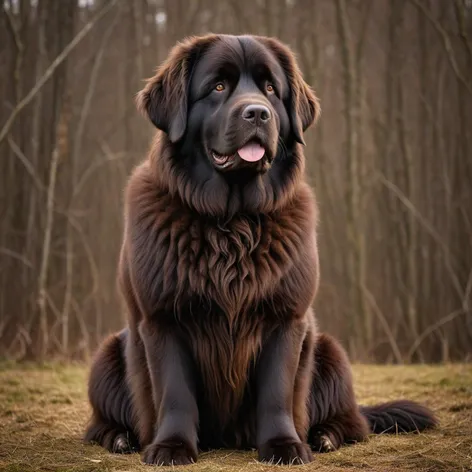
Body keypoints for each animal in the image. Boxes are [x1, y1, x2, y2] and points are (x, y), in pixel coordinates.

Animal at [83, 33, 436, 464]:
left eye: (270, 89)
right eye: (218, 86)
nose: (257, 114)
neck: (232, 222)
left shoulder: (285, 318)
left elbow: (276, 392)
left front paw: (284, 445)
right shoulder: (163, 317)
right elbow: (175, 391)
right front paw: (171, 447)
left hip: (330, 351)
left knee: (353, 422)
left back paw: (325, 436)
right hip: (106, 357)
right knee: (101, 421)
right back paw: (120, 438)